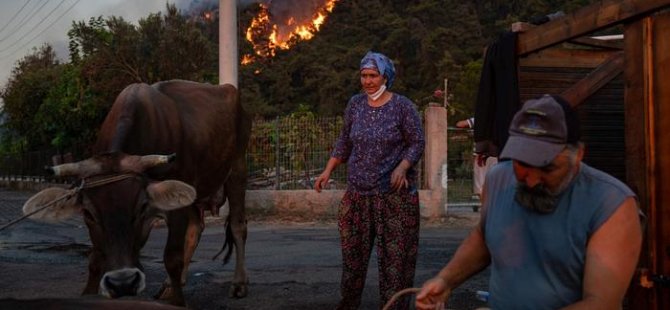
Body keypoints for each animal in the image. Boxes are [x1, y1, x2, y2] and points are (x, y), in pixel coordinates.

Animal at [22, 79, 252, 306]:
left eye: (141, 207)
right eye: (87, 213)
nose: (122, 283)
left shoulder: (175, 203)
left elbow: (172, 257)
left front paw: (177, 300)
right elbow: (95, 260)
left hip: (237, 167)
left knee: (237, 225)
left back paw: (238, 283)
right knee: (196, 228)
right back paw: (172, 284)